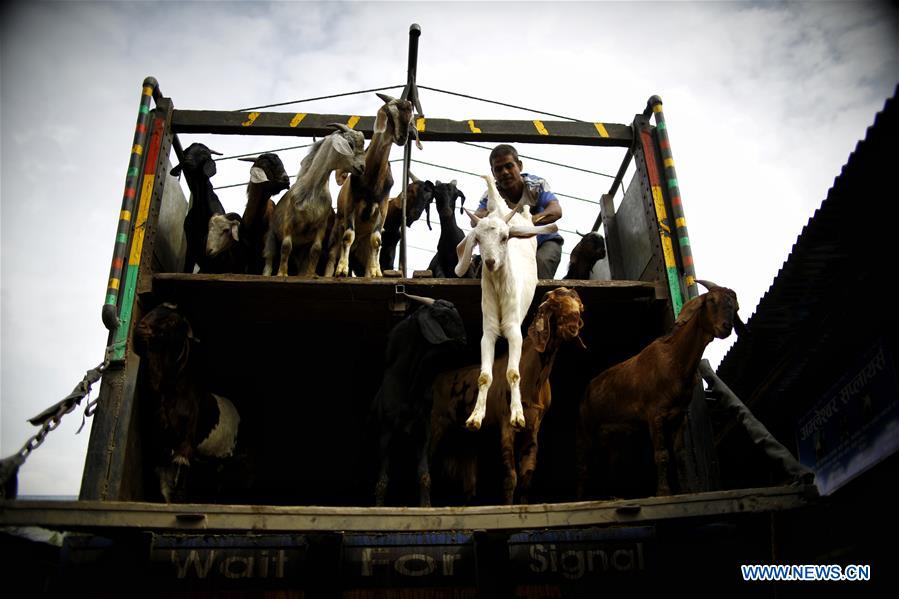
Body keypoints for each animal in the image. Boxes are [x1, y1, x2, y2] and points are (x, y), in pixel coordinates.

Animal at [264, 126, 366, 278]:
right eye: (350, 144)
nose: (362, 167)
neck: (311, 189)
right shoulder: (289, 222)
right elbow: (286, 246)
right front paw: (282, 273)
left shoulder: (320, 225)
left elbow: (316, 249)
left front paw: (311, 274)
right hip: (271, 237)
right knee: (269, 258)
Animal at [374, 296, 472, 506]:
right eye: (442, 316)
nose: (463, 340)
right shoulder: (386, 432)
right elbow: (382, 479)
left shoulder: (424, 430)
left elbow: (424, 474)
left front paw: (426, 505)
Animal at [430, 288, 588, 504]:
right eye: (555, 304)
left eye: (580, 306)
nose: (573, 325)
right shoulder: (506, 424)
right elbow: (510, 477)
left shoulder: (533, 428)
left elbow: (527, 476)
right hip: (437, 424)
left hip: (467, 440)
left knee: (468, 482)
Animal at [460, 175, 560, 432]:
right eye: (477, 239)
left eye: (504, 237)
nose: (490, 262)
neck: (499, 288)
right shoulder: (488, 332)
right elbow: (484, 376)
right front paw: (475, 417)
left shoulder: (515, 331)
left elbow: (513, 373)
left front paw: (518, 415)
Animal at [576, 282, 744, 496]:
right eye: (711, 300)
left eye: (735, 307)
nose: (725, 328)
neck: (675, 361)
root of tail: (586, 391)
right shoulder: (654, 414)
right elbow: (661, 454)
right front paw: (663, 491)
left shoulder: (679, 417)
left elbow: (680, 455)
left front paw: (686, 490)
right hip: (586, 426)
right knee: (584, 464)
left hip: (613, 434)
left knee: (609, 463)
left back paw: (613, 494)